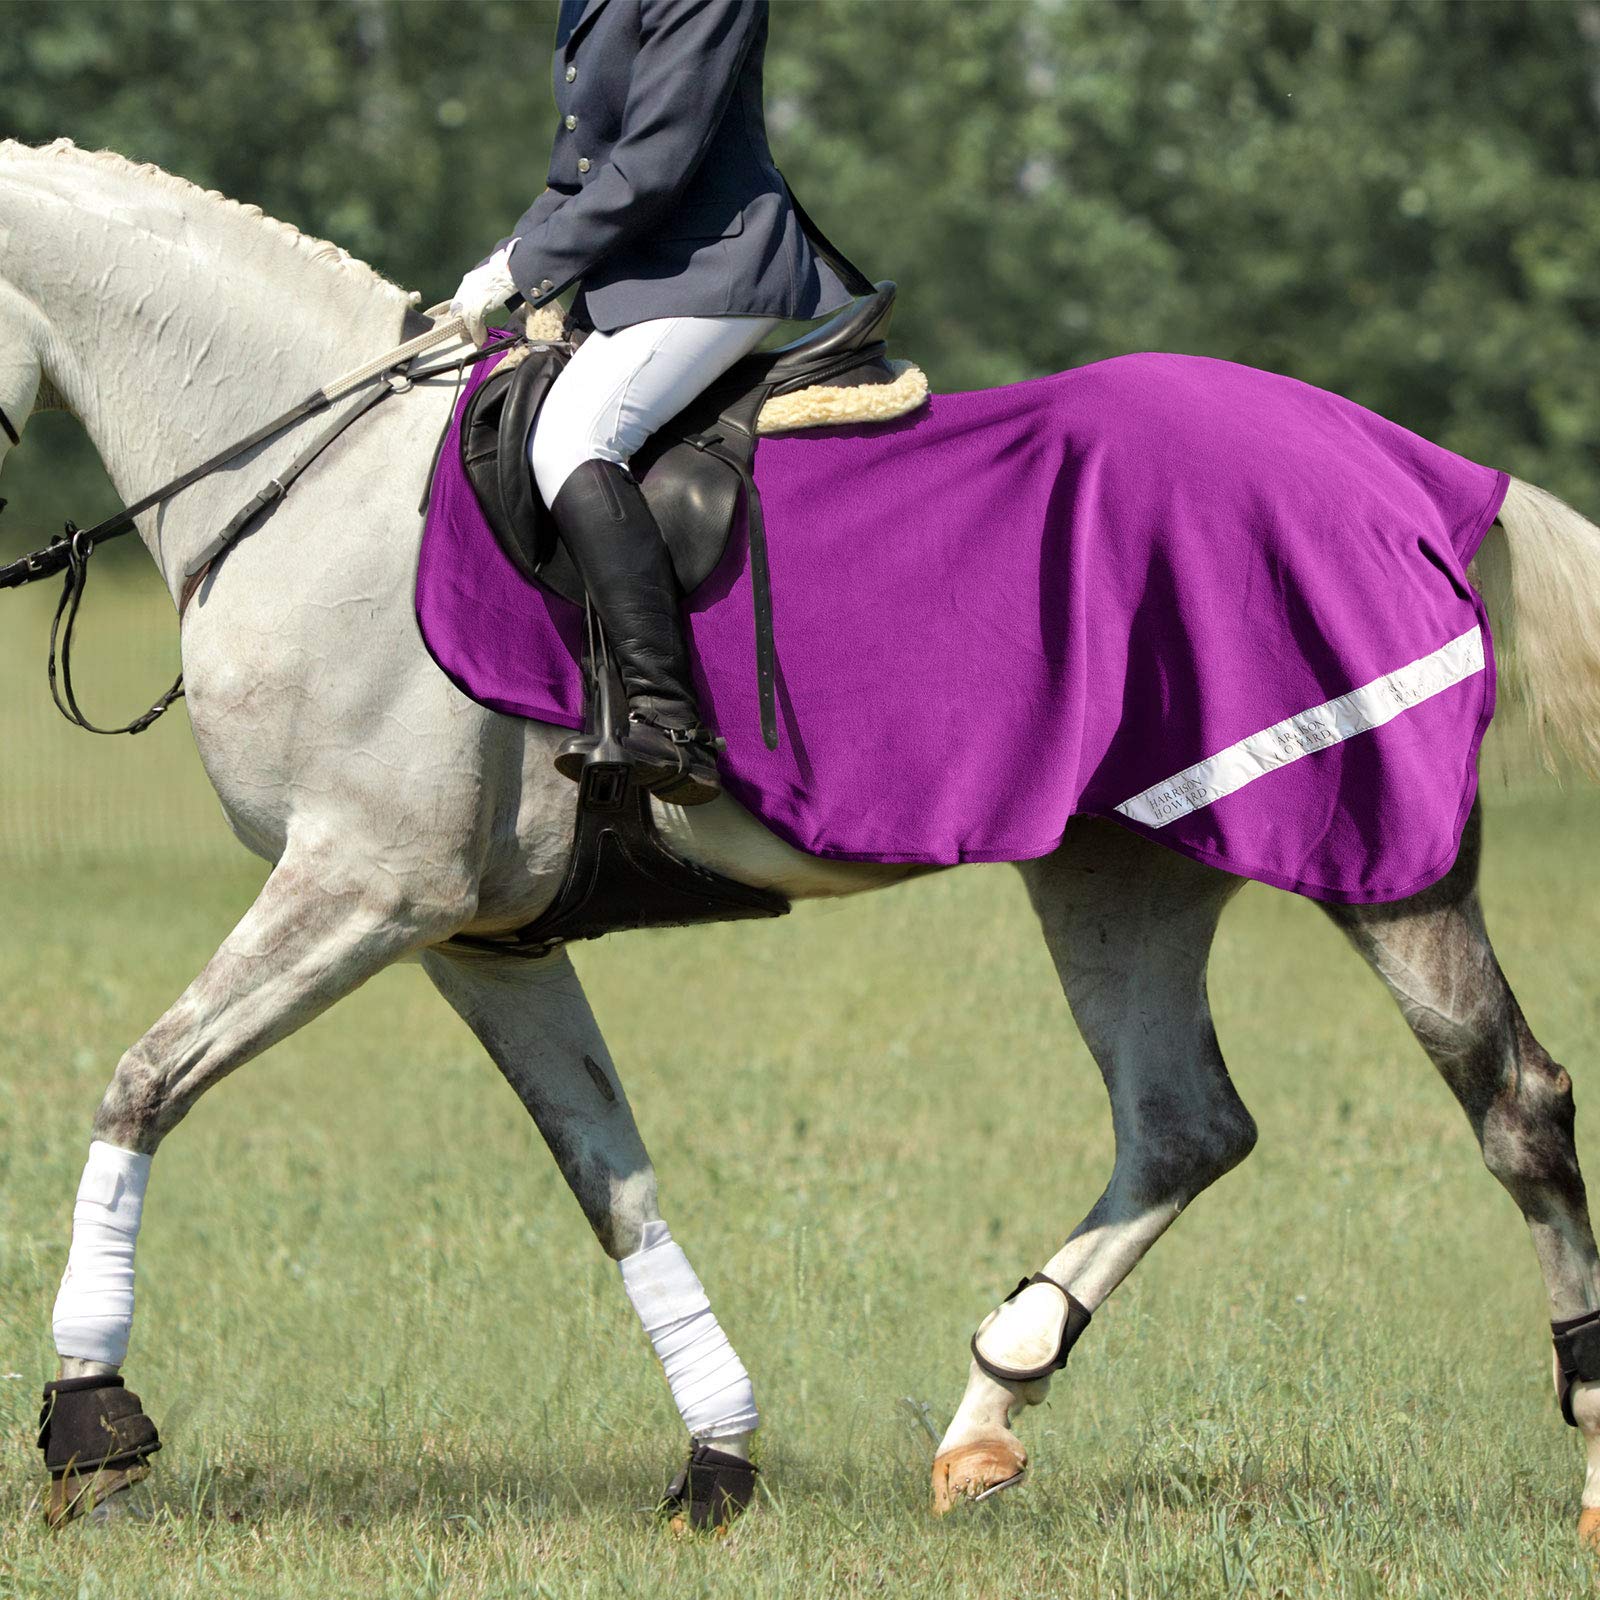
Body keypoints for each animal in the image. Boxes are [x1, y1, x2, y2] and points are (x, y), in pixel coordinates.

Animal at [6, 138, 1600, 1539]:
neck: (312, 489)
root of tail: (1398, 460)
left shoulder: (365, 888)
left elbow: (141, 1086)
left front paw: (91, 1429)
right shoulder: (478, 938)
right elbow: (615, 1185)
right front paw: (718, 1460)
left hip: (1382, 858)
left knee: (1512, 1105)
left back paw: (1582, 1455)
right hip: (1121, 865)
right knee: (1182, 1124)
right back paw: (984, 1416)